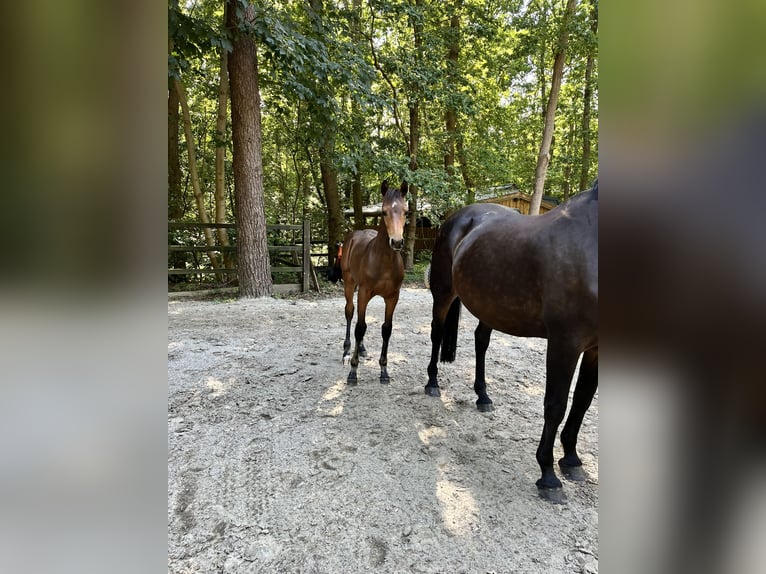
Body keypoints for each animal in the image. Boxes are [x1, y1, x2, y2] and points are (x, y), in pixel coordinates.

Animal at [341, 180, 408, 385]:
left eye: (406, 211)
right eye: (384, 211)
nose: (396, 242)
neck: (383, 262)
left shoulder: (393, 296)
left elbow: (386, 329)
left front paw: (384, 370)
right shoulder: (363, 292)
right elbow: (360, 327)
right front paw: (353, 372)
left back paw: (361, 349)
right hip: (349, 284)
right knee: (350, 312)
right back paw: (346, 352)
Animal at [425, 181, 598, 503]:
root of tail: (457, 216)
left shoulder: (595, 347)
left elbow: (583, 399)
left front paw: (571, 459)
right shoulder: (564, 343)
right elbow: (555, 405)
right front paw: (548, 475)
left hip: (489, 304)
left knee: (480, 341)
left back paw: (483, 396)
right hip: (443, 293)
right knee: (436, 333)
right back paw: (432, 383)